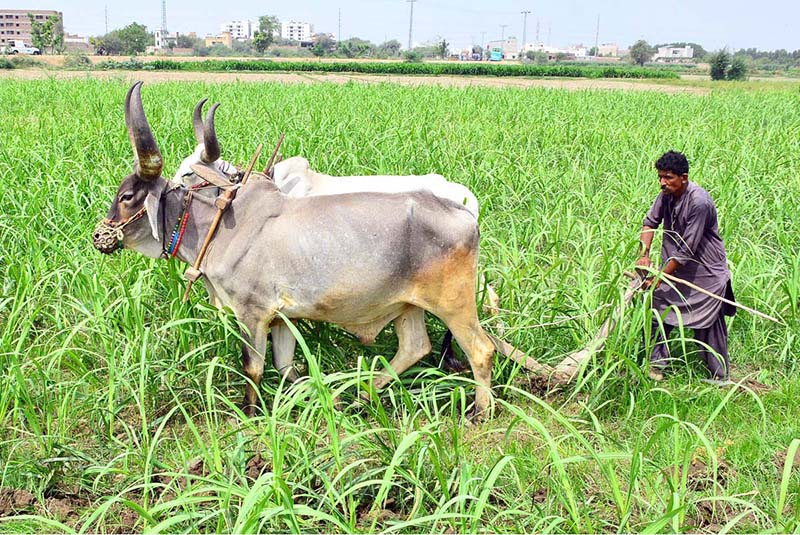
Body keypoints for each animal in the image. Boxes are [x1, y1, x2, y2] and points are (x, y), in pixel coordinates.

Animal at [93, 82, 496, 418]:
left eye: (126, 197)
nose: (99, 236)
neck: (219, 225)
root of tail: (464, 211)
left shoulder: (252, 313)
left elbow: (253, 367)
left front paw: (249, 417)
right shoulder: (284, 318)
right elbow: (288, 368)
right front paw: (313, 400)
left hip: (454, 304)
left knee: (482, 350)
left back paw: (481, 411)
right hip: (407, 305)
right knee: (415, 347)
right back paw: (362, 395)